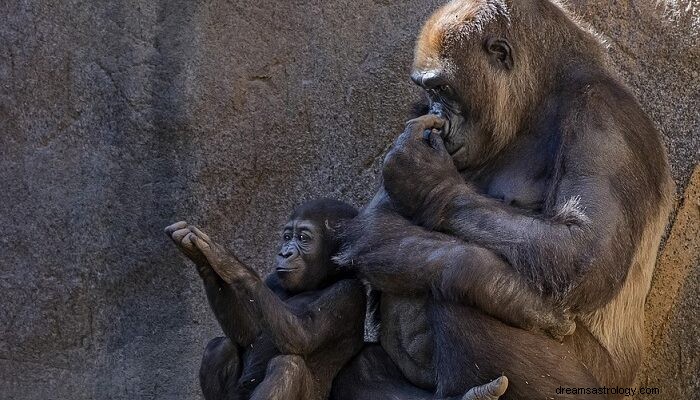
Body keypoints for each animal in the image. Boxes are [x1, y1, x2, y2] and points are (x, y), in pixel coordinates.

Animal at [166, 200, 366, 400]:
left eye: (303, 237)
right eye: (287, 237)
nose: (285, 253)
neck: (324, 279)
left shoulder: (349, 294)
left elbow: (303, 335)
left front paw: (223, 257)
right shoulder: (273, 280)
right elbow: (250, 333)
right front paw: (202, 258)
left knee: (288, 365)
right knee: (219, 347)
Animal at [332, 0, 672, 400]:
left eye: (444, 89)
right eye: (429, 93)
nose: (438, 115)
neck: (542, 96)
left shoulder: (605, 120)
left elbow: (582, 251)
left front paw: (429, 183)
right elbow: (377, 222)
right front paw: (512, 296)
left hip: (601, 388)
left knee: (457, 298)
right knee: (363, 371)